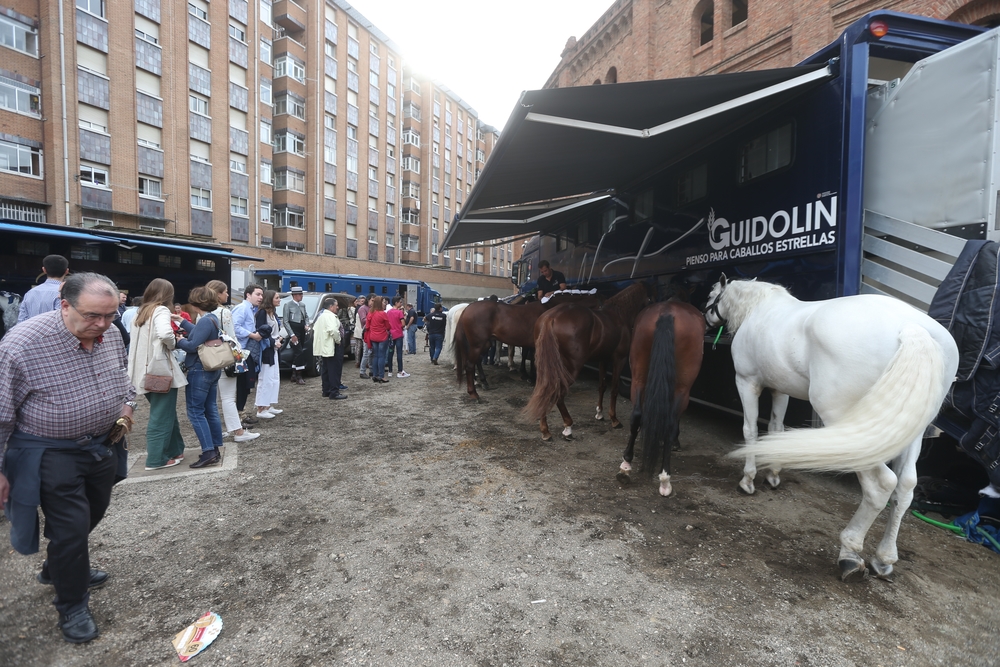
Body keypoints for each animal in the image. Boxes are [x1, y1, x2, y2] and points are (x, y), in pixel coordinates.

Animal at [524, 284, 648, 440]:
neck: (618, 315)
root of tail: (550, 318)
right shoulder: (619, 359)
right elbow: (614, 389)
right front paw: (614, 419)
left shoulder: (603, 359)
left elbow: (602, 386)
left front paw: (599, 413)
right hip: (572, 368)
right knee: (557, 393)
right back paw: (568, 427)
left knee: (544, 390)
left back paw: (545, 430)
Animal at [616, 302, 704, 496]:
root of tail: (667, 311)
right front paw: (675, 443)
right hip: (682, 387)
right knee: (670, 422)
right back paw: (665, 479)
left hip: (639, 376)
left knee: (636, 415)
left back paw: (626, 465)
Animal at [708, 276, 956, 580]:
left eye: (711, 297)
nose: (705, 317)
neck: (759, 309)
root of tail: (912, 328)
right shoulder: (780, 389)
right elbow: (776, 428)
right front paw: (773, 475)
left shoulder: (747, 382)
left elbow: (751, 430)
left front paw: (748, 480)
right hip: (908, 430)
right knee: (905, 487)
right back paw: (884, 559)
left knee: (881, 486)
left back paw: (850, 553)